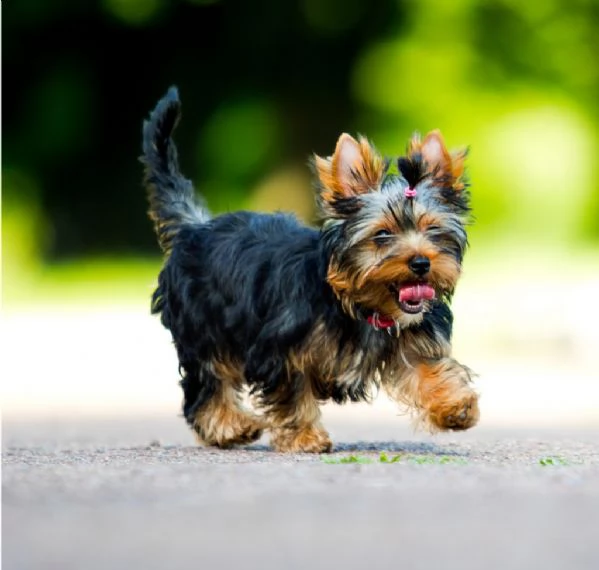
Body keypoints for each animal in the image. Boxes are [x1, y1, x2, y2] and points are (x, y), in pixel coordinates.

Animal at [139, 86, 478, 450]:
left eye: (433, 231)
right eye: (382, 234)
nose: (421, 262)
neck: (359, 305)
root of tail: (195, 227)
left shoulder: (411, 340)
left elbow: (425, 369)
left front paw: (453, 405)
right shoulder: (280, 347)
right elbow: (292, 391)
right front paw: (303, 436)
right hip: (203, 326)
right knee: (206, 381)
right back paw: (229, 426)